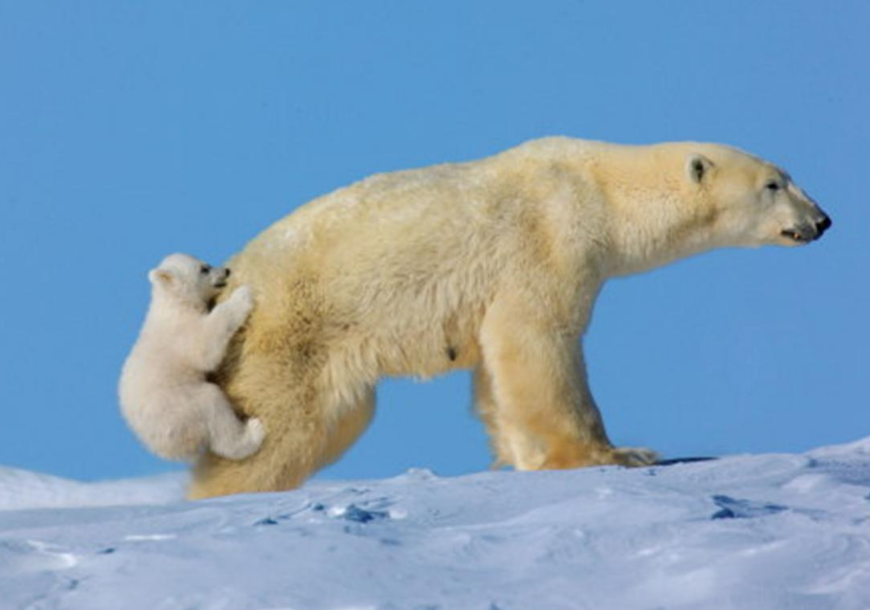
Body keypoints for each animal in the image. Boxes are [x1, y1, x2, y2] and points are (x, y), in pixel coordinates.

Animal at [118, 253, 266, 460]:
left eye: (207, 262)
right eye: (204, 269)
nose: (226, 271)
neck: (174, 303)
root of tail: (161, 446)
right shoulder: (182, 332)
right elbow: (205, 346)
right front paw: (243, 295)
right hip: (180, 407)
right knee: (212, 406)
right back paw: (252, 434)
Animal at [184, 138, 832, 498]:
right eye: (774, 184)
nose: (823, 220)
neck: (599, 189)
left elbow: (498, 377)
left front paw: (527, 459)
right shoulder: (548, 241)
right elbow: (540, 343)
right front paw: (620, 454)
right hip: (287, 336)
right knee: (280, 433)